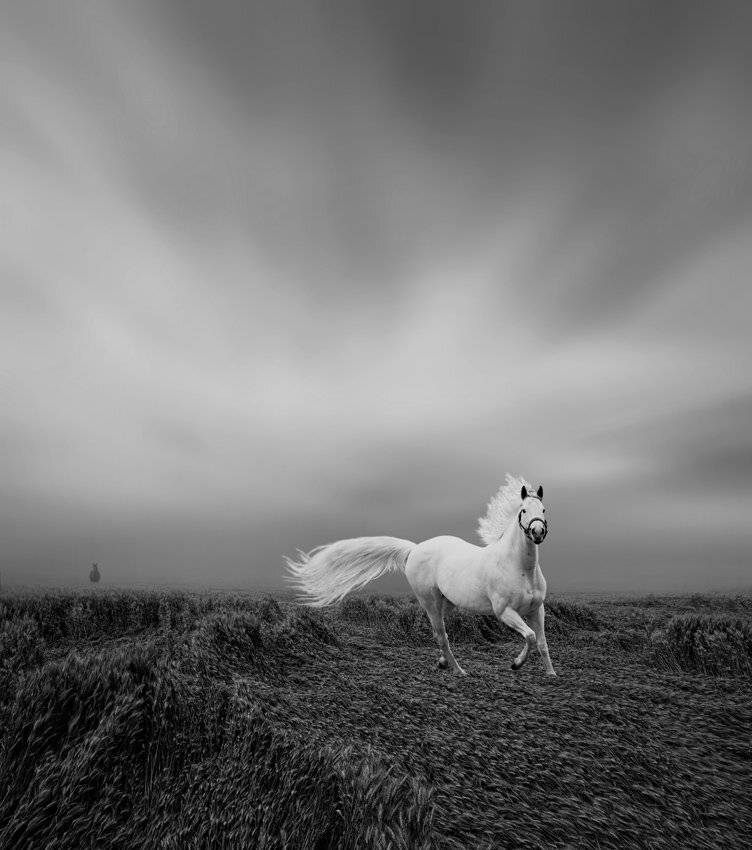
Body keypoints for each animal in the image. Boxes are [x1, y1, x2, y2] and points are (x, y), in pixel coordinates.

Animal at [285, 474, 556, 676]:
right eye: (523, 511)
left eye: (543, 509)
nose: (538, 532)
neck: (520, 568)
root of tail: (414, 549)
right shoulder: (504, 611)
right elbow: (530, 636)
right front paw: (516, 664)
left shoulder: (537, 609)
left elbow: (542, 642)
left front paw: (551, 674)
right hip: (429, 600)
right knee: (442, 635)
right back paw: (459, 671)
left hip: (446, 602)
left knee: (439, 632)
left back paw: (443, 662)